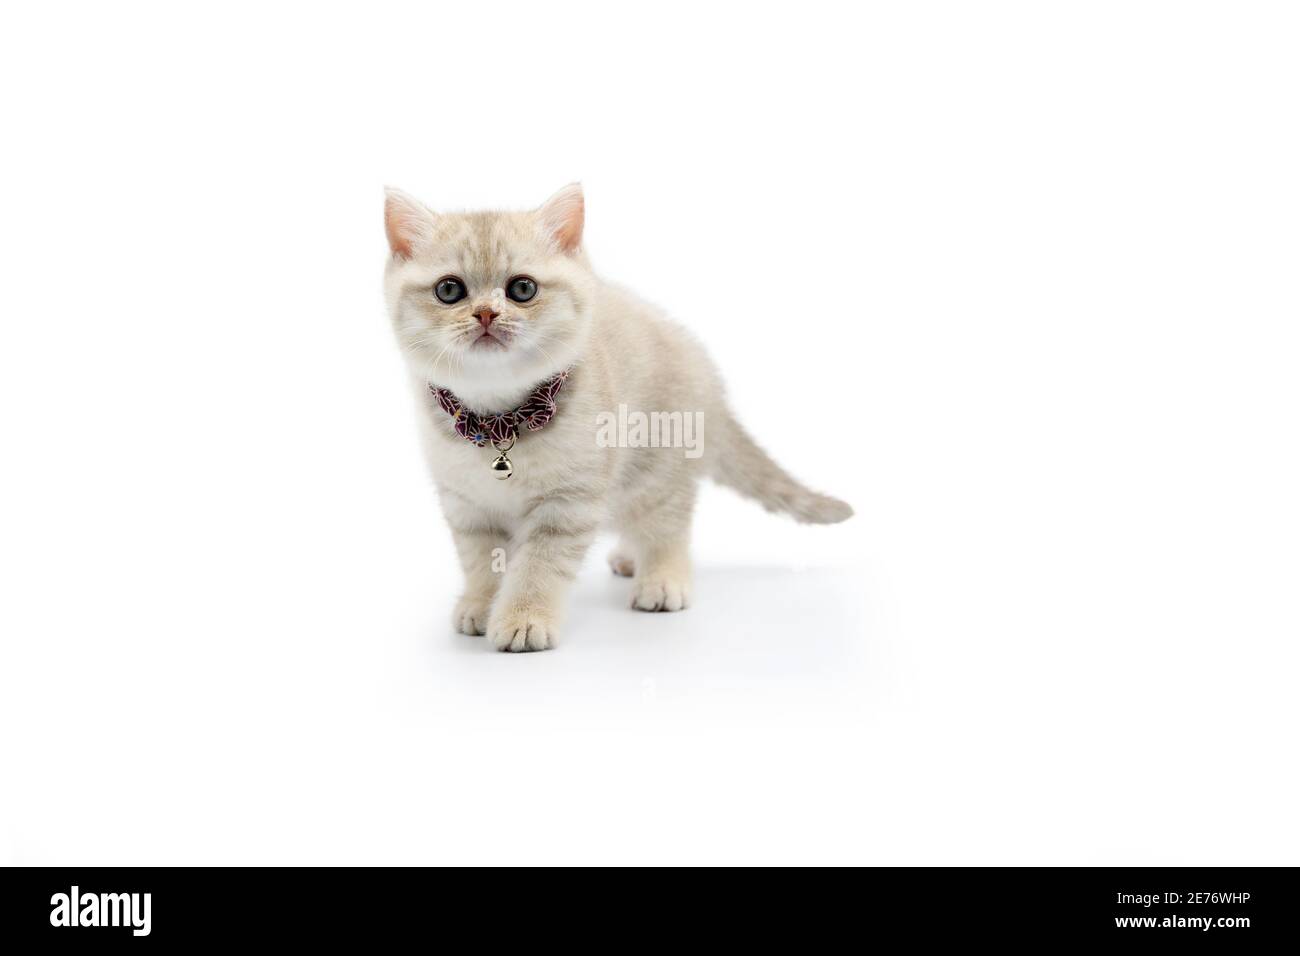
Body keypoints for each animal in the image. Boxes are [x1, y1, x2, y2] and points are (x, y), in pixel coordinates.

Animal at [382, 184, 852, 655]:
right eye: (449, 290)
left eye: (522, 289)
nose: (485, 314)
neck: (500, 421)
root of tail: (706, 375)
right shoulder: (467, 506)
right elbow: (481, 561)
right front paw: (480, 604)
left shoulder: (568, 503)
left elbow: (538, 566)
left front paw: (523, 619)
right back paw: (628, 557)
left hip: (656, 470)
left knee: (668, 527)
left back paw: (661, 578)